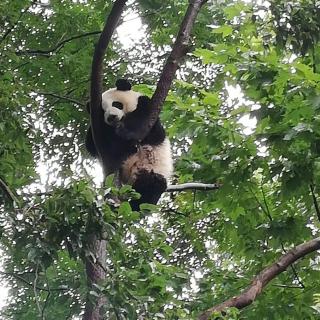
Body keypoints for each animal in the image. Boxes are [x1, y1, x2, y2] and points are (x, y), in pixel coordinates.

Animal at [85, 79, 172, 211]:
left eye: (116, 104)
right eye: (102, 111)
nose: (111, 117)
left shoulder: (146, 108)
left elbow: (144, 125)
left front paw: (125, 132)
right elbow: (91, 146)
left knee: (155, 186)